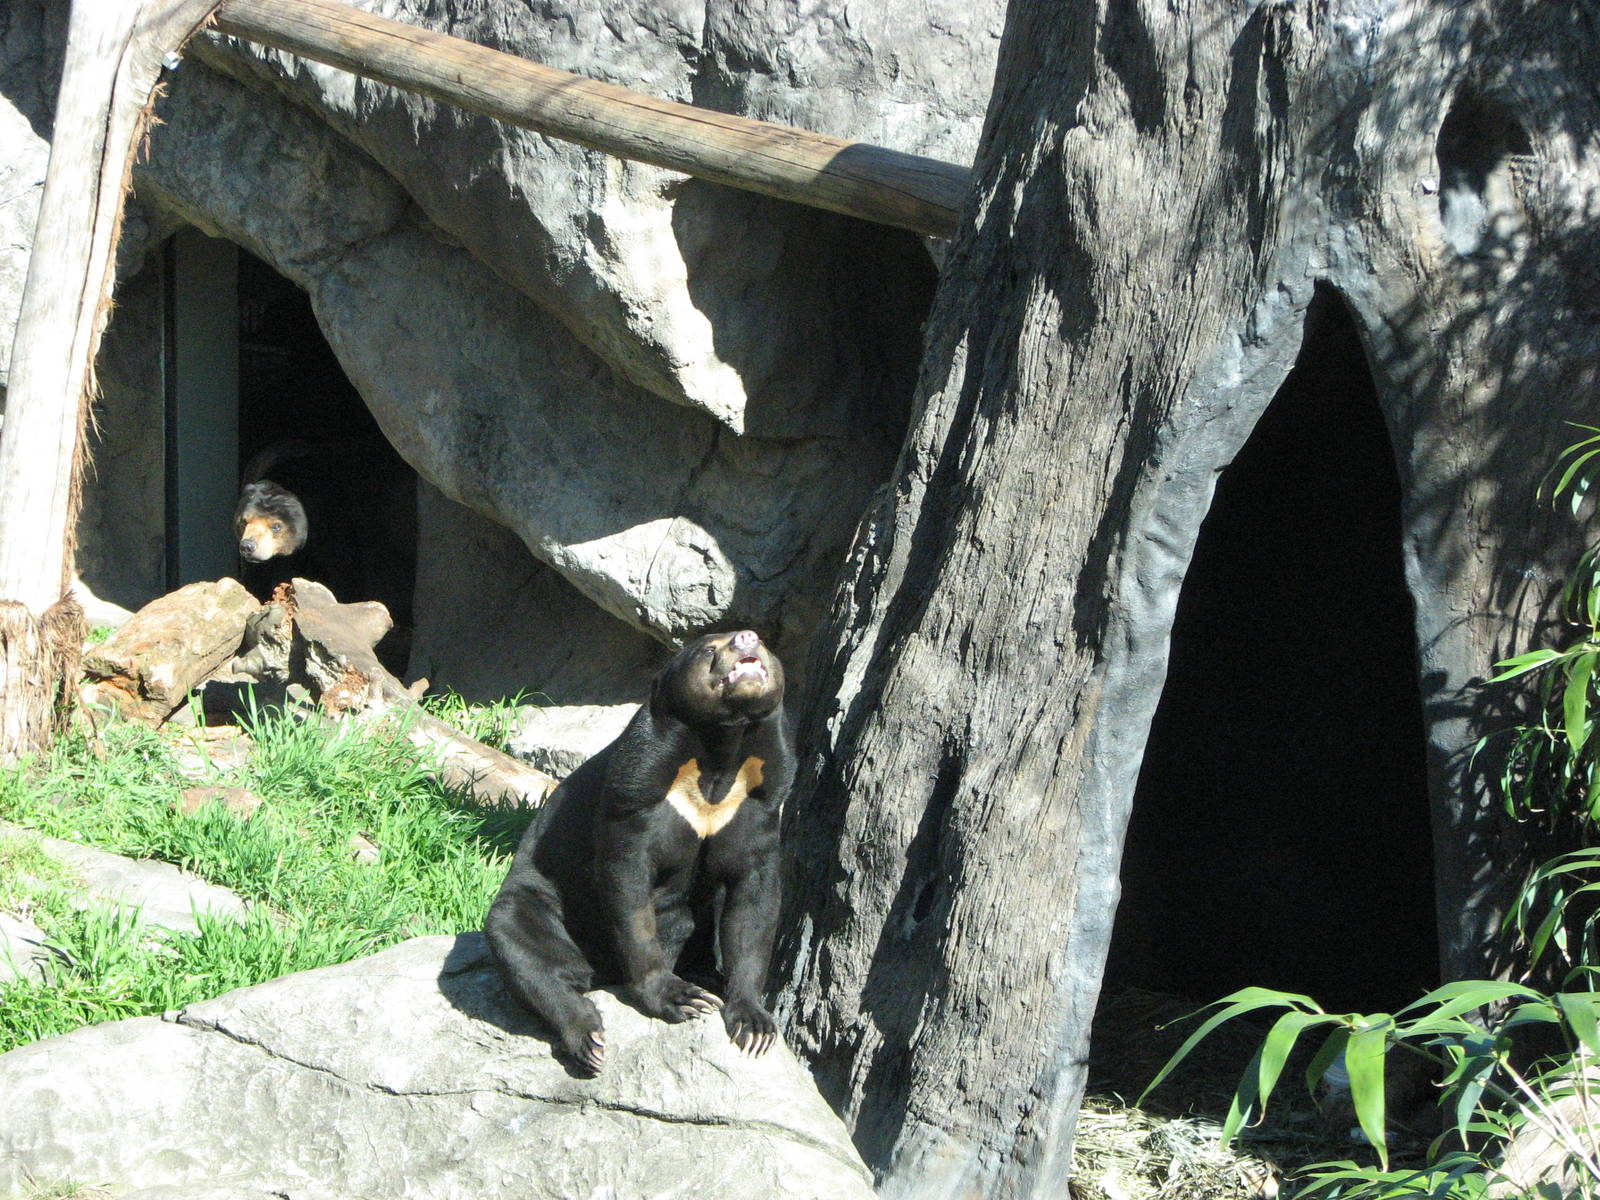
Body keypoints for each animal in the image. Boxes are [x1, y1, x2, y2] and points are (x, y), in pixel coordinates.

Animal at [485, 629, 794, 1073]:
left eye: (764, 644)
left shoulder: (760, 801)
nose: (747, 637)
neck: (721, 751)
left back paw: (707, 976)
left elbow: (753, 898)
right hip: (539, 901)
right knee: (525, 947)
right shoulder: (636, 789)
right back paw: (588, 1037)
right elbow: (628, 882)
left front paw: (753, 1024)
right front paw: (680, 998)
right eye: (708, 649)